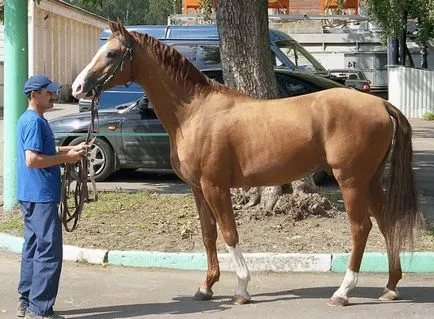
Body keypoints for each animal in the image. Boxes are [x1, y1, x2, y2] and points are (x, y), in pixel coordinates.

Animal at [72, 21, 420, 306]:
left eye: (112, 53)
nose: (77, 87)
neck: (194, 112)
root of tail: (381, 104)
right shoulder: (198, 189)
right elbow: (209, 234)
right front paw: (206, 287)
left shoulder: (215, 187)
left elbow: (229, 233)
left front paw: (241, 289)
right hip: (370, 180)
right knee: (387, 223)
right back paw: (390, 287)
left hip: (351, 182)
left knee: (361, 228)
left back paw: (343, 292)